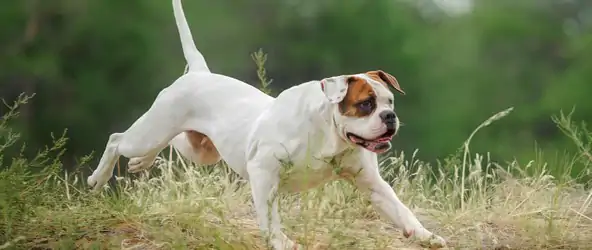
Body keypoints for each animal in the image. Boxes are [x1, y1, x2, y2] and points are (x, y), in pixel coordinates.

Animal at [86, 0, 444, 249]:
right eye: (365, 104)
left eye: (390, 102)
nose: (389, 117)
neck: (328, 133)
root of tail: (200, 73)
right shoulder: (263, 173)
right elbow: (269, 218)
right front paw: (280, 242)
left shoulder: (373, 185)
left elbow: (402, 210)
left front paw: (425, 235)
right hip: (154, 130)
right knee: (117, 139)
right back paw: (98, 178)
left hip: (199, 150)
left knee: (166, 143)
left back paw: (140, 163)